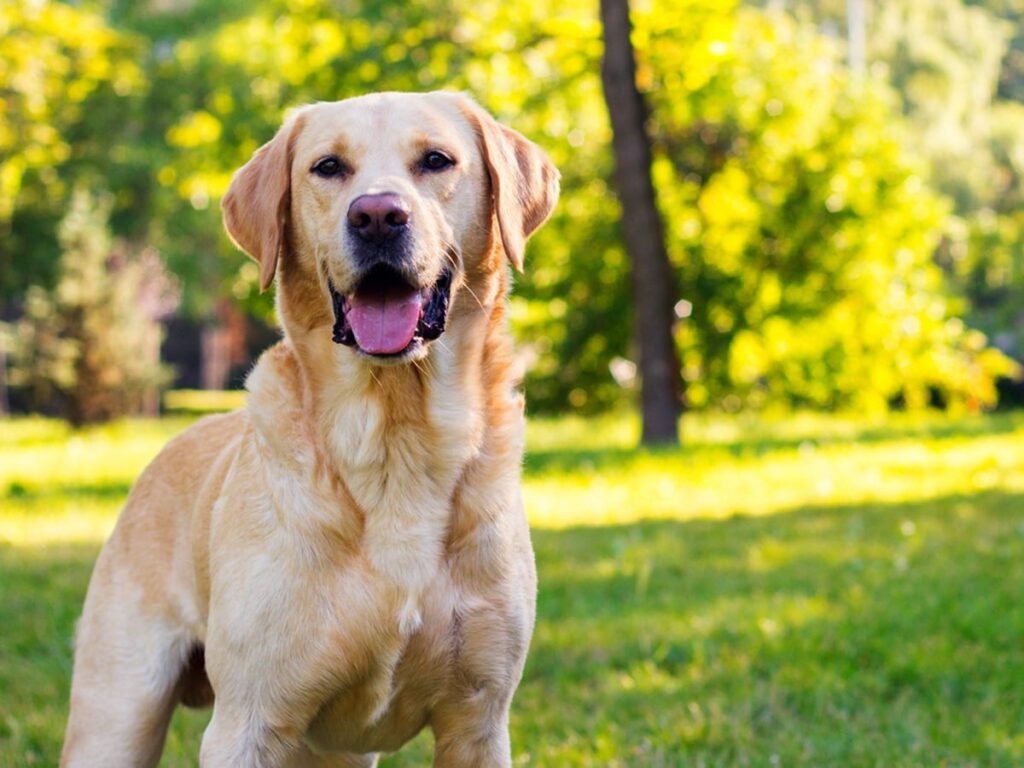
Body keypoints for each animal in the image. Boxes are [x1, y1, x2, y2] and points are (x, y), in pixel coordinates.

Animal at [61, 91, 561, 768]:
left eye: (436, 160)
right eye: (328, 167)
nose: (377, 217)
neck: (395, 439)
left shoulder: (478, 722)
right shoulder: (247, 723)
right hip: (117, 712)